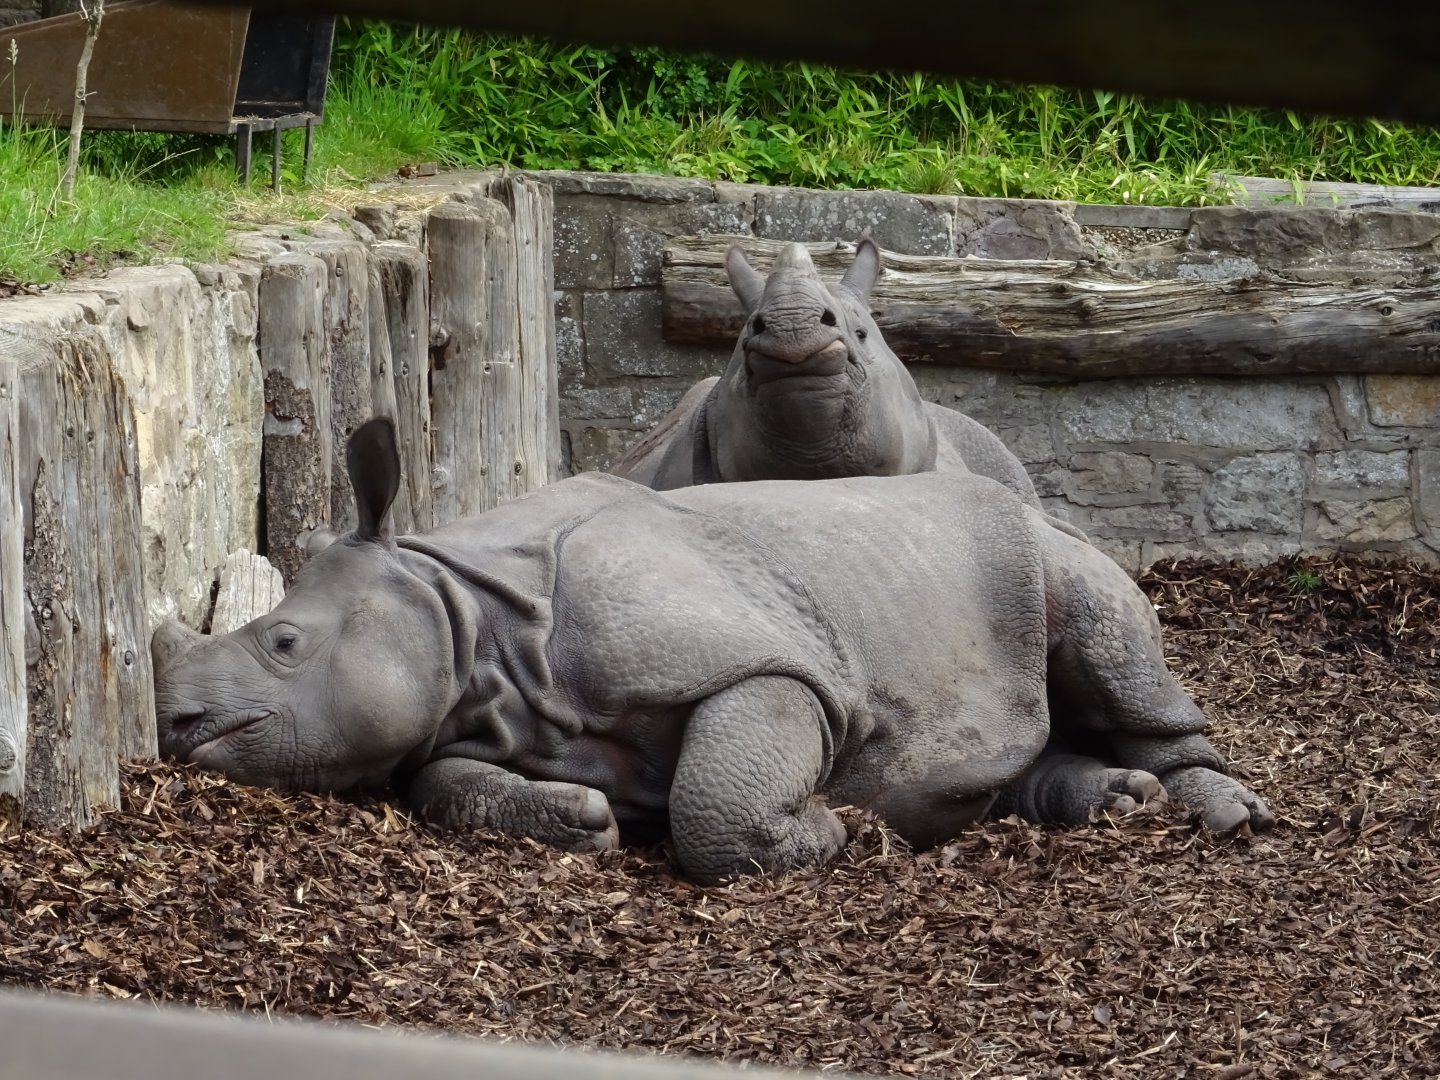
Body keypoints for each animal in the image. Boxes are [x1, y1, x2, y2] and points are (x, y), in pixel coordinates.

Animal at [152, 419, 1271, 884]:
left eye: (283, 642)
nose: (171, 722)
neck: (466, 615)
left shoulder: (766, 663)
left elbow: (719, 795)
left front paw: (832, 832)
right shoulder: (468, 715)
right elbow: (444, 783)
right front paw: (581, 822)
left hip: (1043, 546)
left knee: (1100, 626)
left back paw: (1224, 819)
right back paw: (1117, 806)